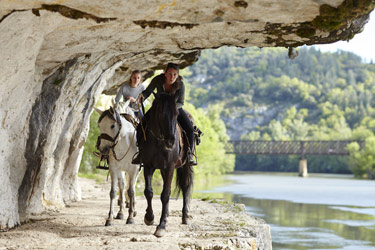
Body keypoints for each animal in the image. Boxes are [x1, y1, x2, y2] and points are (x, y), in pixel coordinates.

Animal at [140, 93, 194, 237]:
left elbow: (165, 195)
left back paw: (185, 216)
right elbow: (149, 192)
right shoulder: (148, 166)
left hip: (185, 166)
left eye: (176, 114)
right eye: (160, 113)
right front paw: (149, 217)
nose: (171, 141)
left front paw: (161, 226)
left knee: (185, 187)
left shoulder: (169, 167)